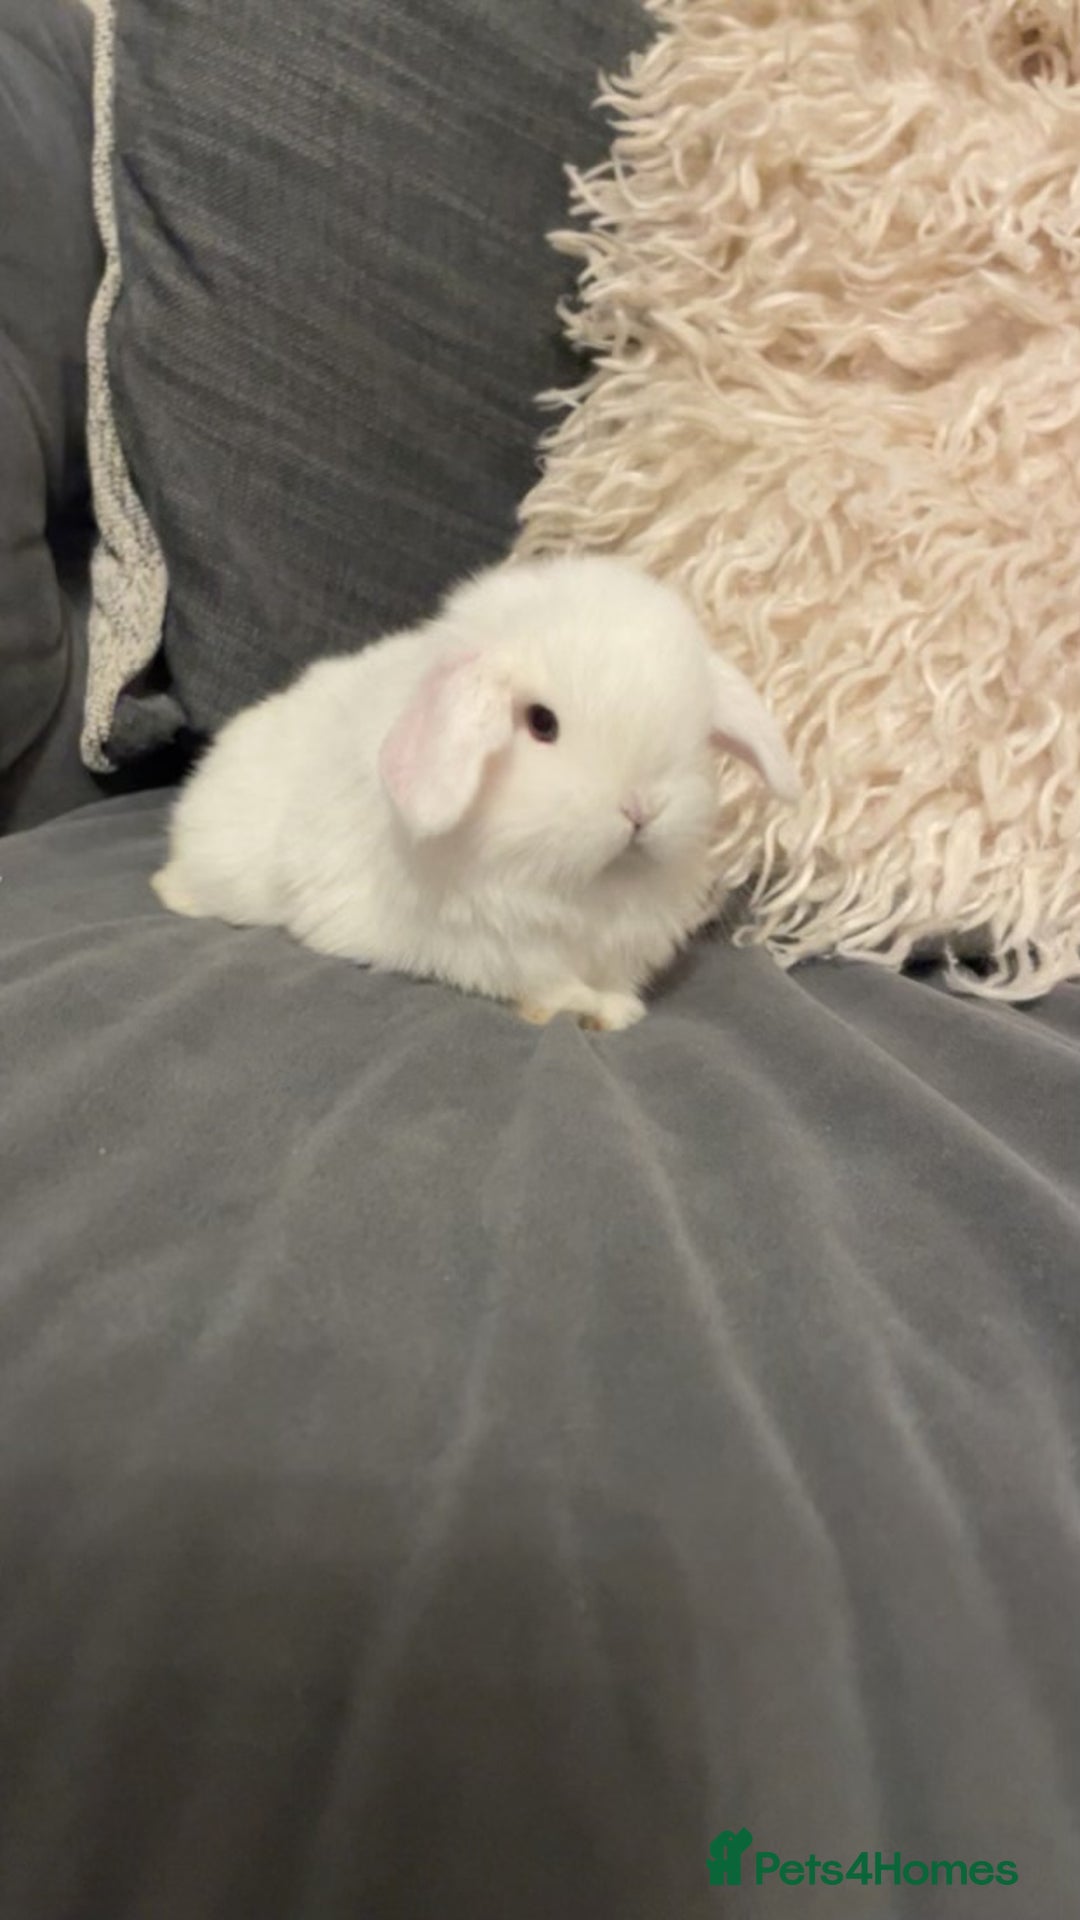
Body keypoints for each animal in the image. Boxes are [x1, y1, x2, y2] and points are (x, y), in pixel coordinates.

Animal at [152, 555, 800, 1029]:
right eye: (541, 723)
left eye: (697, 731)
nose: (641, 808)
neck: (585, 889)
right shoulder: (493, 946)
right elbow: (546, 982)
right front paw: (585, 1009)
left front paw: (618, 1010)